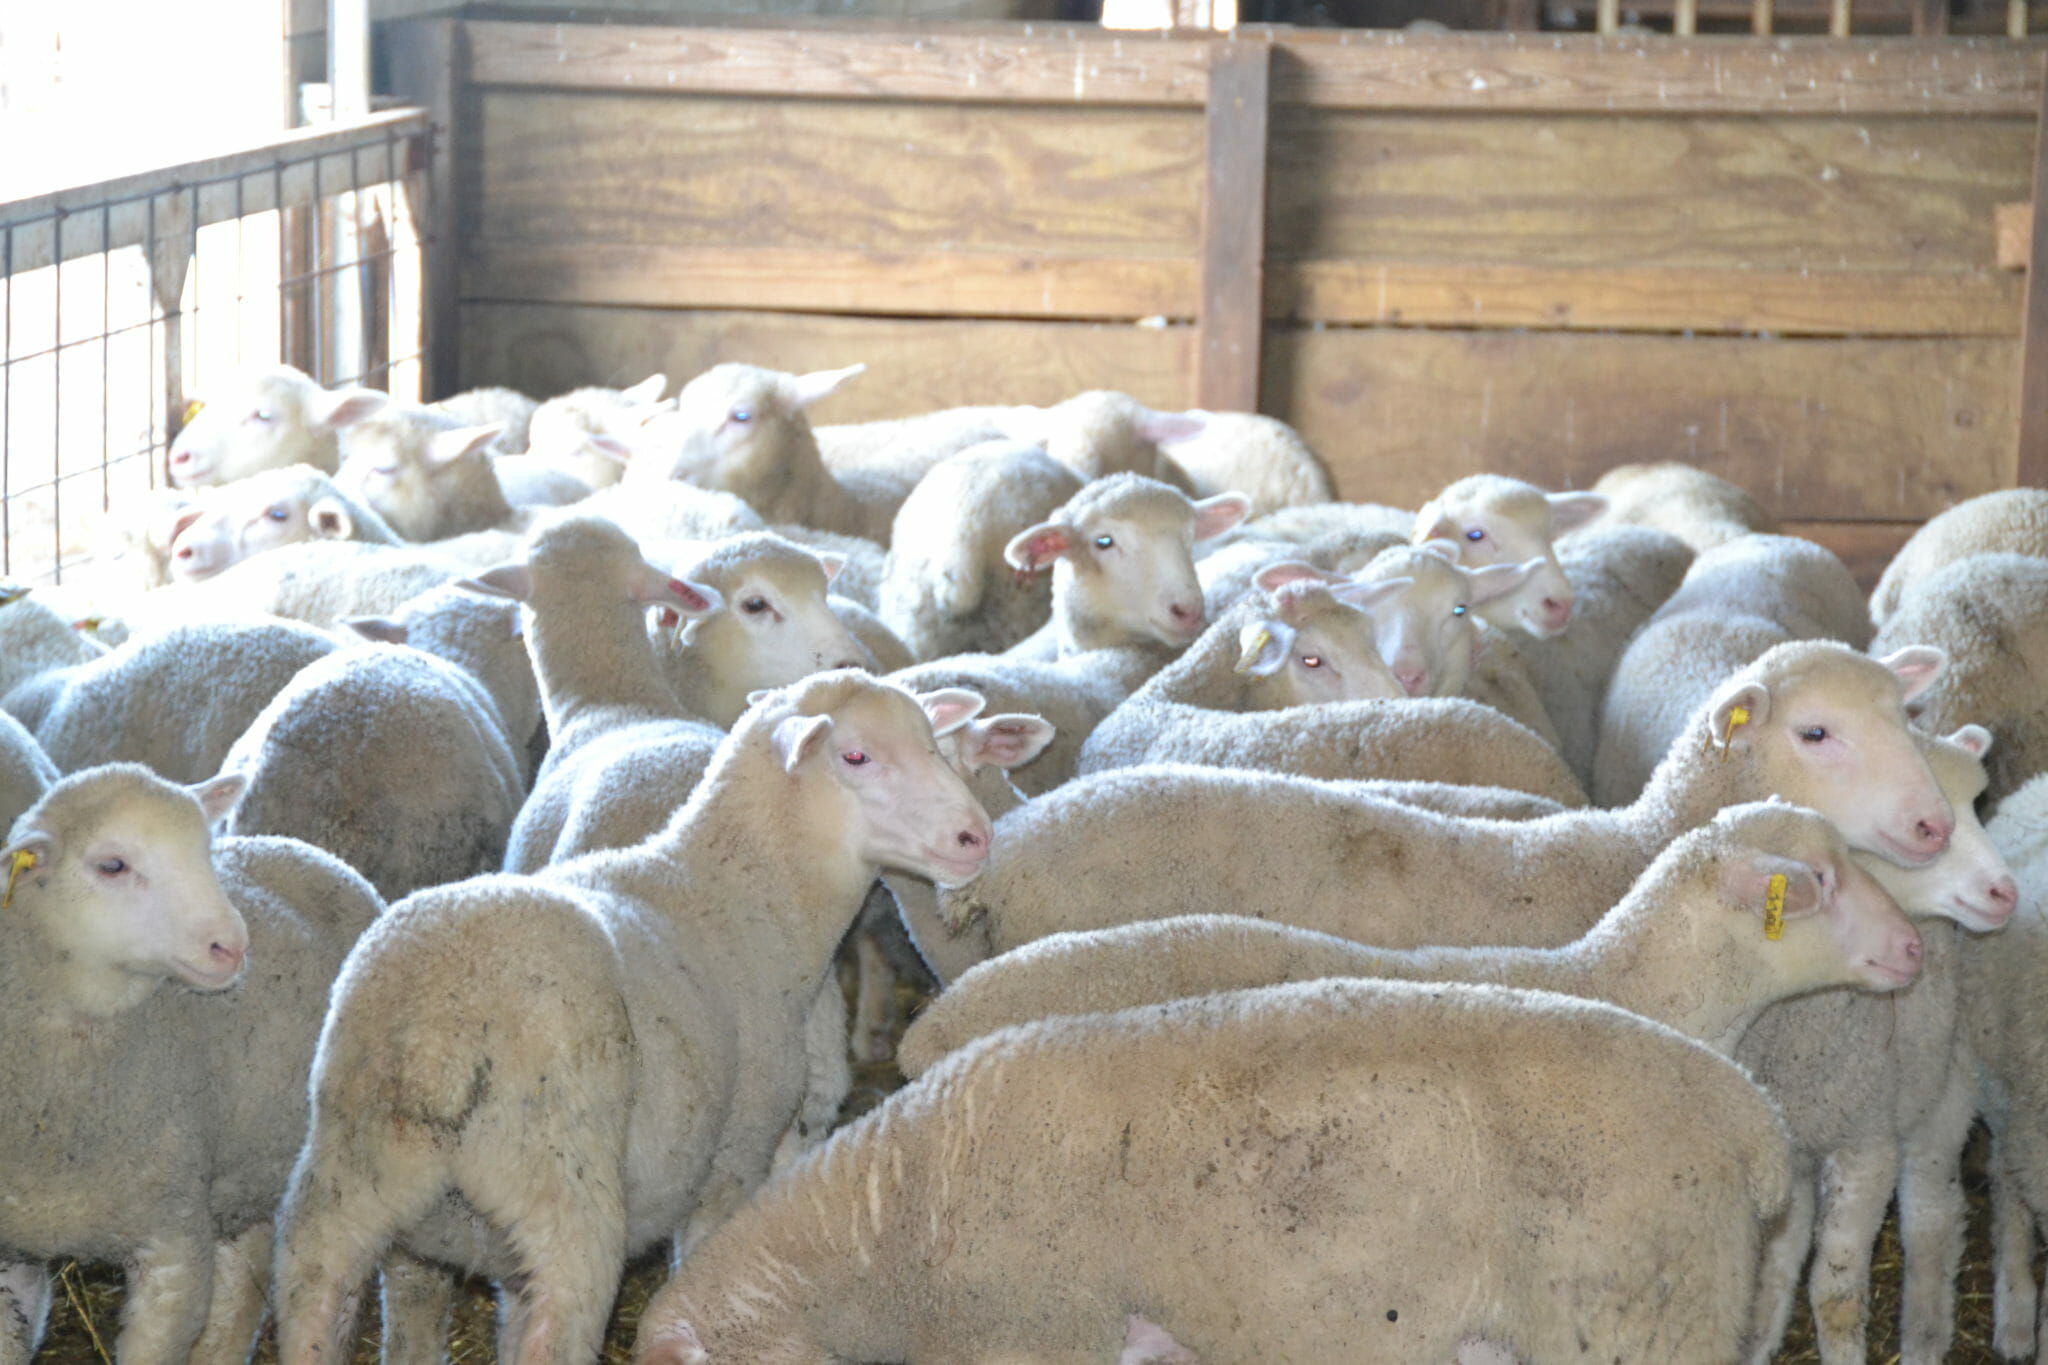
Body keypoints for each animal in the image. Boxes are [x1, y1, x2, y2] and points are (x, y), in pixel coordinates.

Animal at [0, 765, 382, 1365]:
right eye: (112, 864)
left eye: (204, 849)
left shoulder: (172, 1243)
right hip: (244, 1182)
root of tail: (301, 847)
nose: (231, 946)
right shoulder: (13, 1247)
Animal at [270, 672, 994, 1365]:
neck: (745, 896)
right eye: (856, 756)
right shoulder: (733, 1158)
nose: (976, 836)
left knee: (333, 1309)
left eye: (933, 742)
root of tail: (432, 1040)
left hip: (346, 1198)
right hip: (563, 1195)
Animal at [1737, 724, 2019, 1365]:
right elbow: (1772, 1272)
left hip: (1941, 1092)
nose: (2005, 891)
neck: (1798, 1037)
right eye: (1929, 827)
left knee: (1933, 1218)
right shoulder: (1787, 1147)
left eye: (1977, 806)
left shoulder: (1866, 1142)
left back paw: (1924, 1336)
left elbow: (1836, 1291)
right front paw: (1760, 1342)